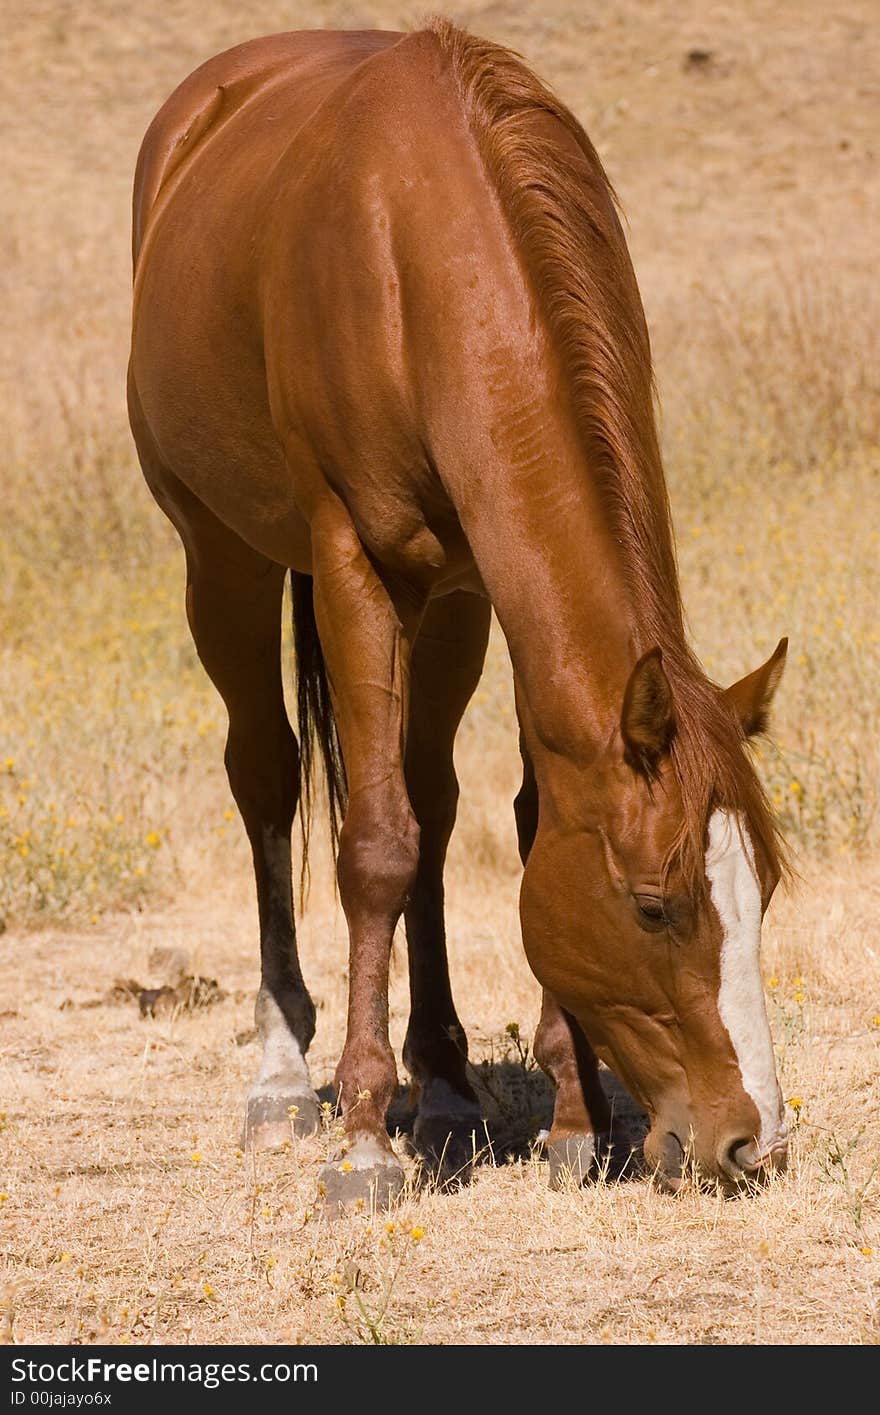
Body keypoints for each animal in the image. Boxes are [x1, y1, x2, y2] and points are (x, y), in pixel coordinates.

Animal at [129, 19, 792, 1205]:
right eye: (655, 904)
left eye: (758, 889)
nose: (750, 1143)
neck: (418, 260)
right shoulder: (356, 565)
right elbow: (374, 845)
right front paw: (361, 1139)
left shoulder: (487, 582)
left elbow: (515, 817)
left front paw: (573, 1120)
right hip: (223, 561)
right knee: (269, 776)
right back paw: (284, 1077)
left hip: (444, 612)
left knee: (429, 799)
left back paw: (442, 1087)